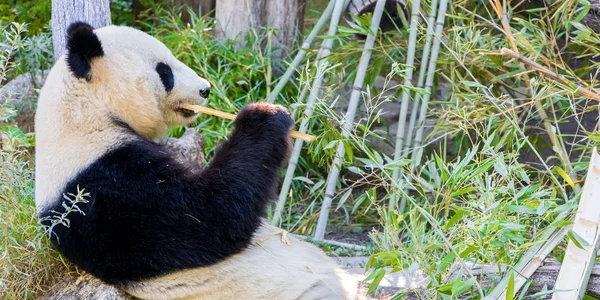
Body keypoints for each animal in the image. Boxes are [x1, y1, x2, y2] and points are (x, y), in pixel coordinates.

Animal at [35, 22, 358, 298]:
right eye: (164, 71)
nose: (205, 89)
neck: (84, 113)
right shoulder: (102, 188)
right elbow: (209, 215)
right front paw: (264, 116)